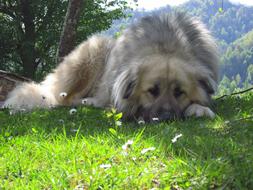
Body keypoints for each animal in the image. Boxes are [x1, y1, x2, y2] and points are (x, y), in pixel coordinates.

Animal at [2, 12, 218, 121]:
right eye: (151, 91)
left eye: (179, 92)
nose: (166, 118)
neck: (166, 45)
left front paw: (200, 109)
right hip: (94, 51)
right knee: (66, 99)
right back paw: (88, 102)